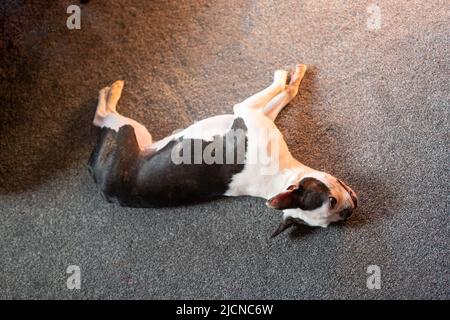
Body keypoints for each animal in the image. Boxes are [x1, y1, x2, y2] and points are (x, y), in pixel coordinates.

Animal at [89, 64, 358, 238]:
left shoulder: (257, 115)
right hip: (128, 130)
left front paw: (292, 80)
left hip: (139, 134)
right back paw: (110, 91)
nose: (348, 212)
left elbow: (281, 97)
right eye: (332, 201)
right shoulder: (247, 110)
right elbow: (278, 91)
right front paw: (286, 76)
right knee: (101, 116)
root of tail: (103, 189)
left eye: (336, 218)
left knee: (101, 118)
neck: (280, 179)